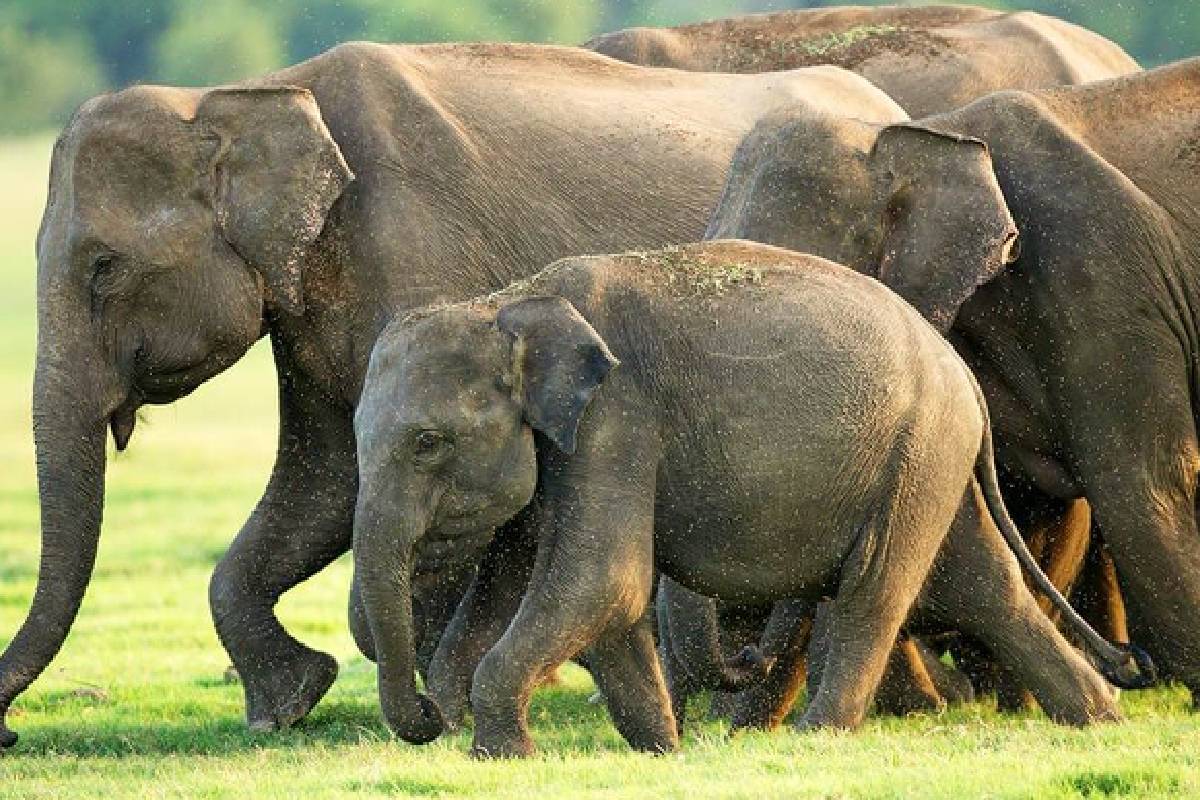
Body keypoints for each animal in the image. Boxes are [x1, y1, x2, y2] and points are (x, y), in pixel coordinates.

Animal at [0, 40, 904, 748]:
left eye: (103, 266)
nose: (8, 731)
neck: (254, 90)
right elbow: (324, 481)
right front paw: (289, 703)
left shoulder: (410, 258)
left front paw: (441, 707)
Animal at [352, 240, 1147, 756]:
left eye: (427, 443)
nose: (429, 716)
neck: (509, 304)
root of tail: (963, 374)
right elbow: (586, 593)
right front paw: (660, 751)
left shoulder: (617, 420)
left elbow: (602, 580)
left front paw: (504, 755)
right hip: (931, 459)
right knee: (984, 586)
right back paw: (1100, 718)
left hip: (915, 449)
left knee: (874, 588)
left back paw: (814, 739)